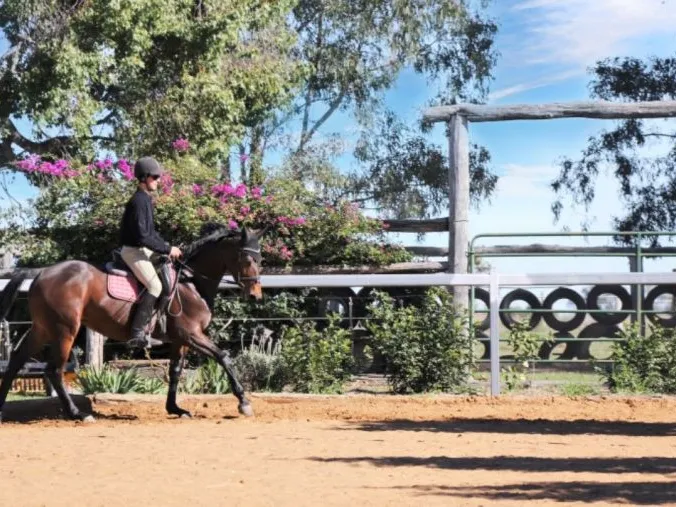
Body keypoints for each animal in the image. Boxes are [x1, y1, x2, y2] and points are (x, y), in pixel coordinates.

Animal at [0, 223, 264, 423]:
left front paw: (175, 409)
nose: (255, 295)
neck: (191, 282)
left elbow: (175, 372)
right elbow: (223, 357)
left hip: (43, 329)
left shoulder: (180, 339)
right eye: (246, 257)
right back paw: (78, 414)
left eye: (259, 258)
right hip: (65, 330)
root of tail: (41, 272)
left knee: (16, 360)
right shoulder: (192, 334)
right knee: (54, 370)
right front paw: (244, 402)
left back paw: (2, 408)